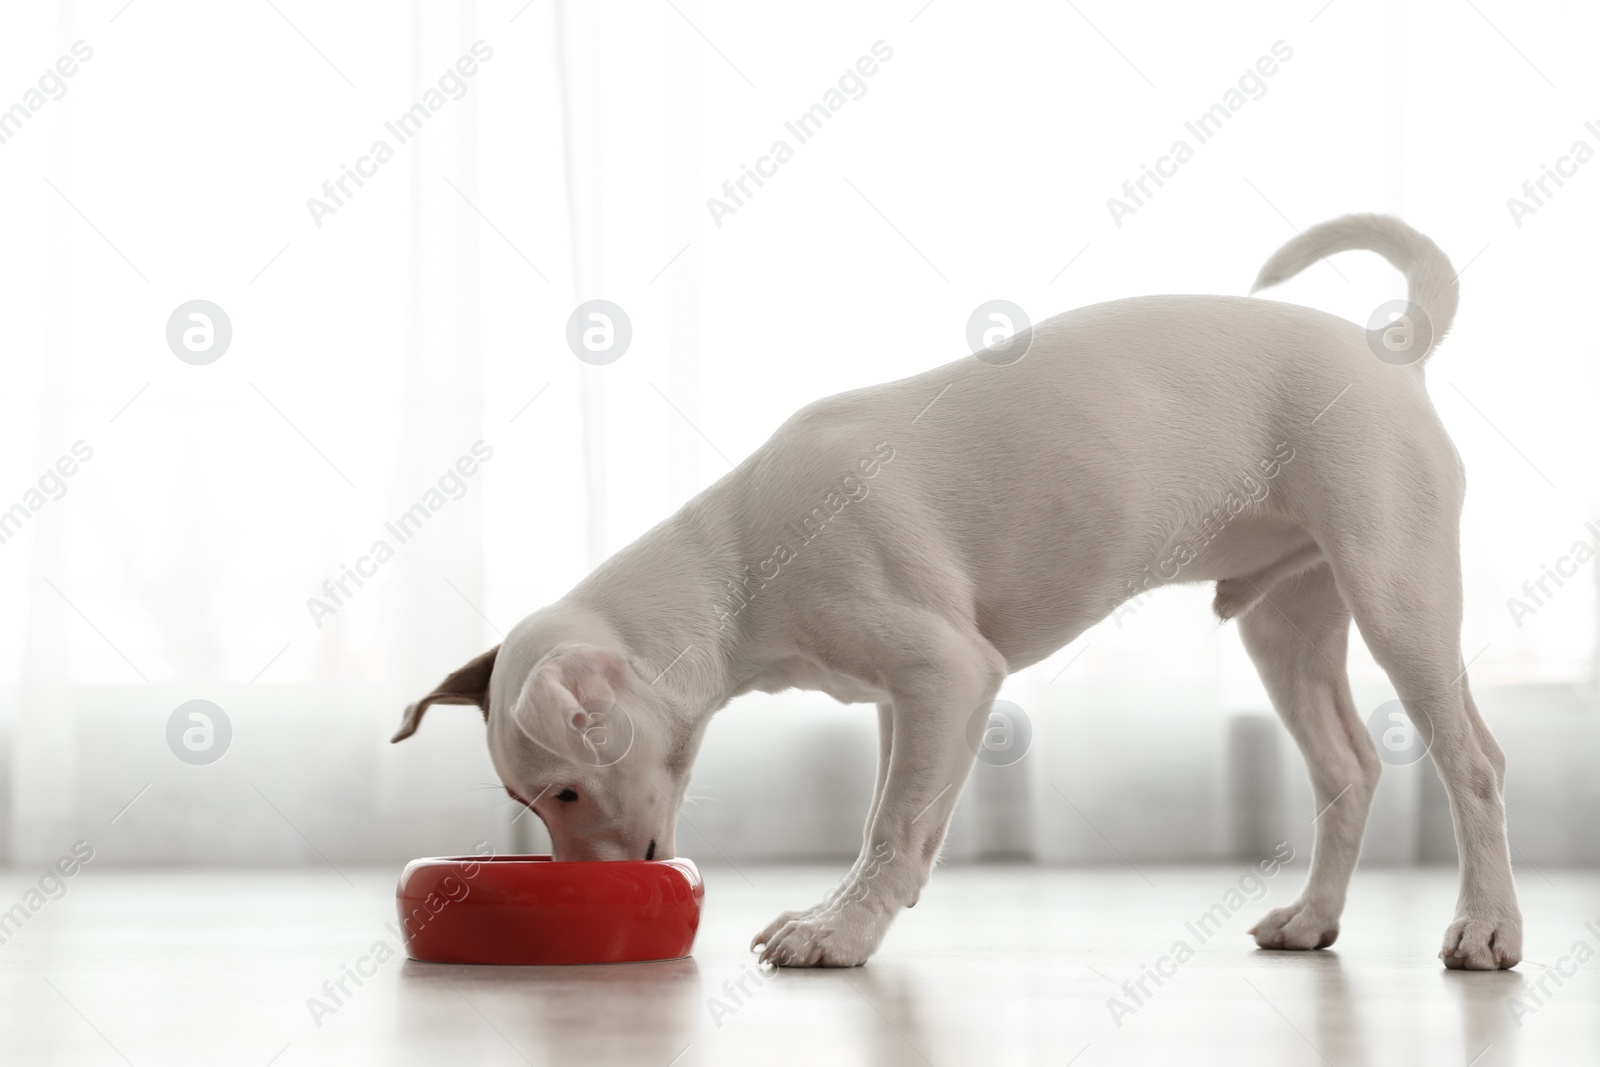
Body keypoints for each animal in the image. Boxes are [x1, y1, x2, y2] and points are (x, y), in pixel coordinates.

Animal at [393, 214, 1516, 966]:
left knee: (1472, 763)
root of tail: (1392, 348)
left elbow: (894, 823)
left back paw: (1486, 923)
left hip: (1397, 594)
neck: (737, 564)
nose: (592, 883)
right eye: (529, 801)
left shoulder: (948, 672)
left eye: (566, 790)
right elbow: (897, 816)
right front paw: (850, 907)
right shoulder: (913, 701)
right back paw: (1314, 916)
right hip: (1288, 622)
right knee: (1347, 769)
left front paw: (841, 930)